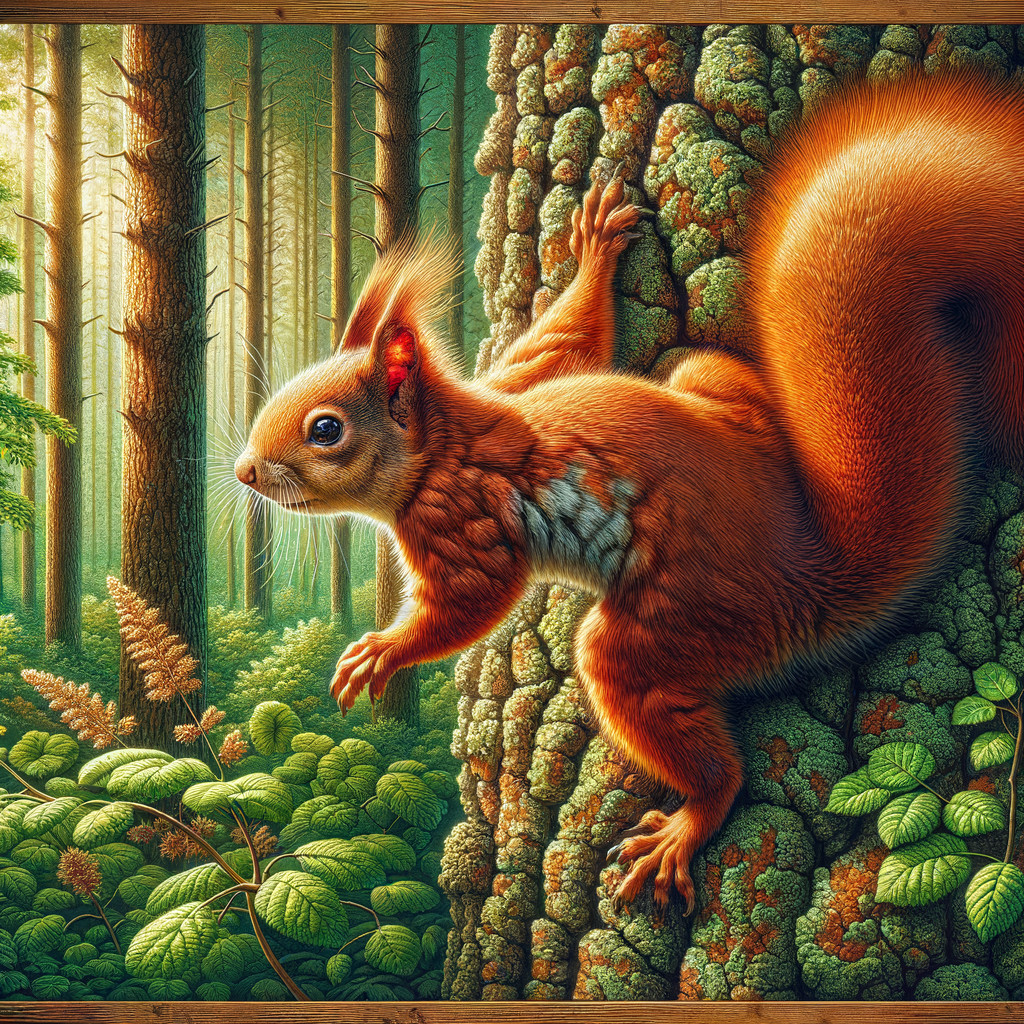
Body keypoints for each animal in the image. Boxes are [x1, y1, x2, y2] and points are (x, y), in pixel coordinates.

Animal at [236, 72, 1024, 914]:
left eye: (325, 430)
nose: (246, 471)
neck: (445, 438)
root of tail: (812, 574)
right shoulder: (521, 377)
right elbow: (564, 340)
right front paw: (593, 252)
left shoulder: (464, 515)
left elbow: (473, 603)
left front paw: (383, 648)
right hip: (704, 379)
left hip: (674, 625)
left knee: (693, 742)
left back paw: (686, 824)